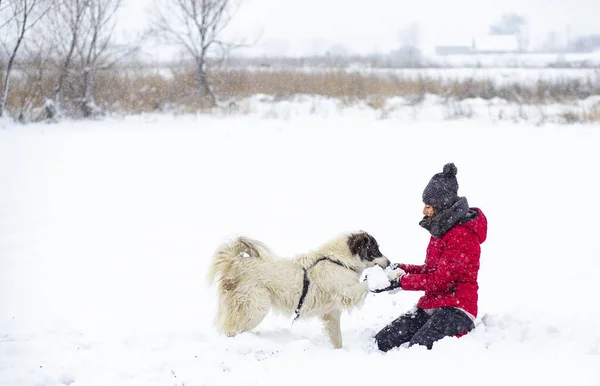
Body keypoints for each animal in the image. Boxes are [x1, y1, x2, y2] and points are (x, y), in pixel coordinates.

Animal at [209, 231, 392, 348]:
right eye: (374, 249)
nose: (389, 262)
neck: (338, 260)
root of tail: (235, 262)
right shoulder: (348, 293)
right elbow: (365, 285)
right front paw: (391, 275)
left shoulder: (331, 313)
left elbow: (337, 338)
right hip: (254, 308)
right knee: (232, 330)